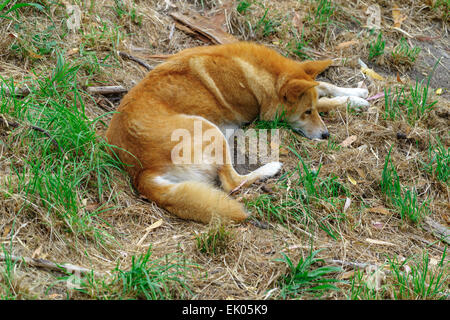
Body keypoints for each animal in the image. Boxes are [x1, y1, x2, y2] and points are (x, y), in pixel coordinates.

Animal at [106, 41, 370, 224]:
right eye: (307, 112)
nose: (325, 135)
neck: (250, 71)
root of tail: (140, 172)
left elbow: (323, 86)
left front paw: (356, 92)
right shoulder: (264, 116)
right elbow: (326, 100)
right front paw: (352, 101)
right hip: (209, 130)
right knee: (232, 183)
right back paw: (270, 168)